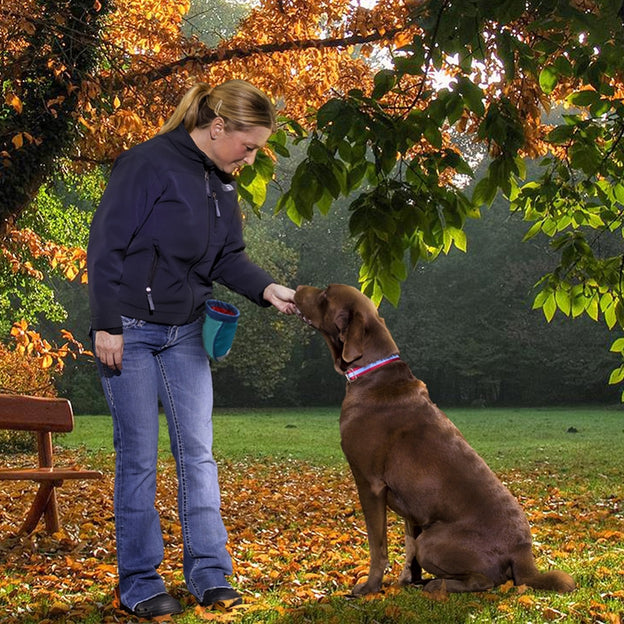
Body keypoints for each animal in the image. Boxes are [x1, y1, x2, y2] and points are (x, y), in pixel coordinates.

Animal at [294, 286, 576, 596]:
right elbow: (407, 544)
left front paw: (370, 586)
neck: (372, 371)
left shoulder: (370, 484)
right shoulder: (411, 507)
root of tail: (523, 553)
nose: (298, 289)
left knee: (485, 580)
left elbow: (378, 546)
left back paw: (437, 584)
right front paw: (408, 580)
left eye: (324, 295)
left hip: (432, 541)